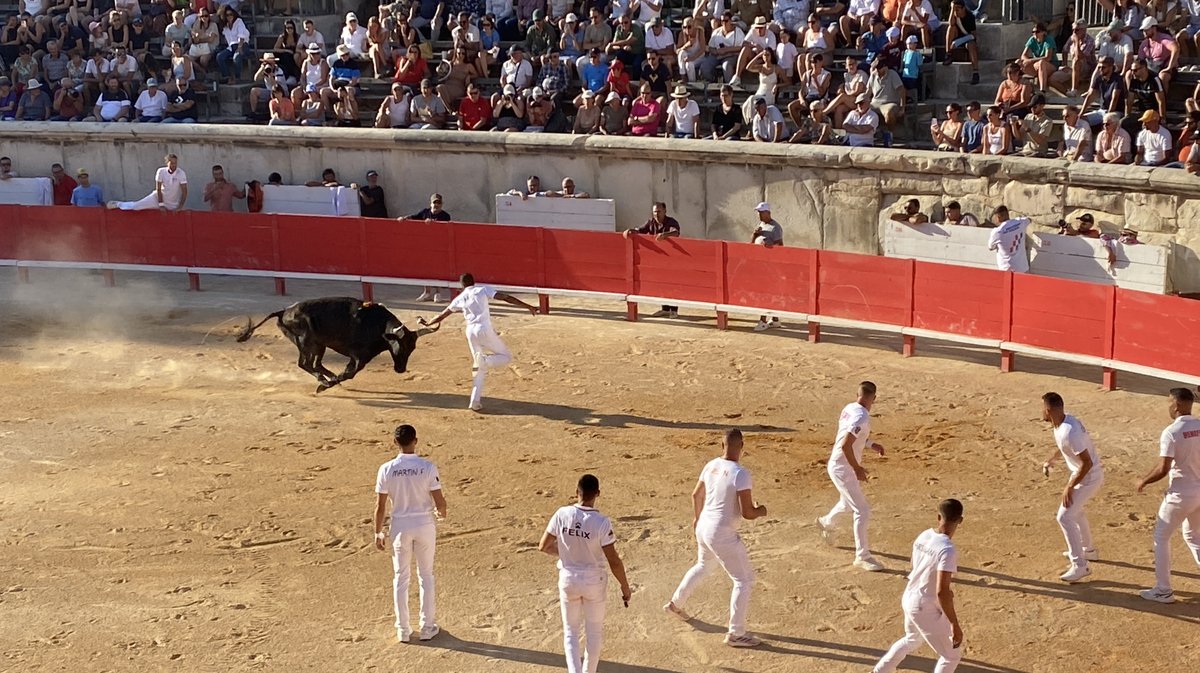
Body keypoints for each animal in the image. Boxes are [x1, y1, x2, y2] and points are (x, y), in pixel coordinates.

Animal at [236, 295, 439, 393]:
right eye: (401, 346)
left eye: (412, 348)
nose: (401, 369)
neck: (379, 327)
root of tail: (283, 311)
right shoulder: (359, 357)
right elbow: (350, 373)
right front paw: (327, 385)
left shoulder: (359, 358)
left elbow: (348, 372)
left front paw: (334, 380)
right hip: (307, 342)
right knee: (305, 364)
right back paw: (324, 382)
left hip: (320, 345)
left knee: (315, 364)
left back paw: (328, 378)